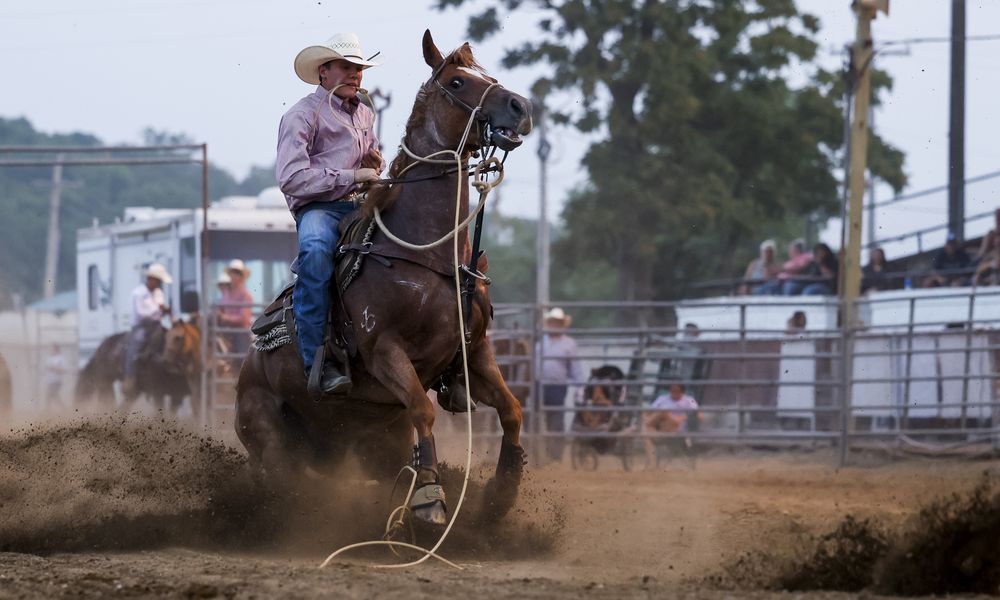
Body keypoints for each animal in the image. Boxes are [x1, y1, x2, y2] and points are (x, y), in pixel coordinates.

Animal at [236, 29, 532, 524]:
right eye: (456, 82)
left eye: (489, 77)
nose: (521, 106)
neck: (429, 257)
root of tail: (246, 370)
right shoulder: (385, 351)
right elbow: (423, 410)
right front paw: (430, 497)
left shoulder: (474, 351)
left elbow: (511, 409)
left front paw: (502, 493)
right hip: (270, 441)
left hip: (375, 442)